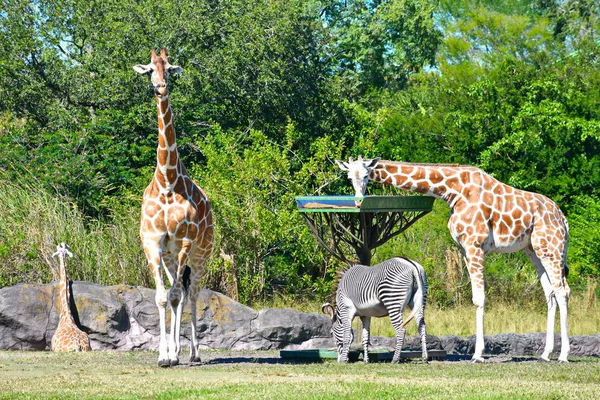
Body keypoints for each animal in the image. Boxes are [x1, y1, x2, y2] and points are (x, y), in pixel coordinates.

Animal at [338, 156, 572, 362]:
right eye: (349, 177)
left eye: (366, 175)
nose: (358, 201)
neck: (453, 191)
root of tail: (563, 218)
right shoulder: (463, 248)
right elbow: (476, 297)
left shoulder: (475, 245)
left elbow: (479, 299)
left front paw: (478, 355)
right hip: (533, 250)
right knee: (550, 293)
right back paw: (545, 354)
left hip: (552, 248)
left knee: (563, 291)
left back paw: (563, 355)